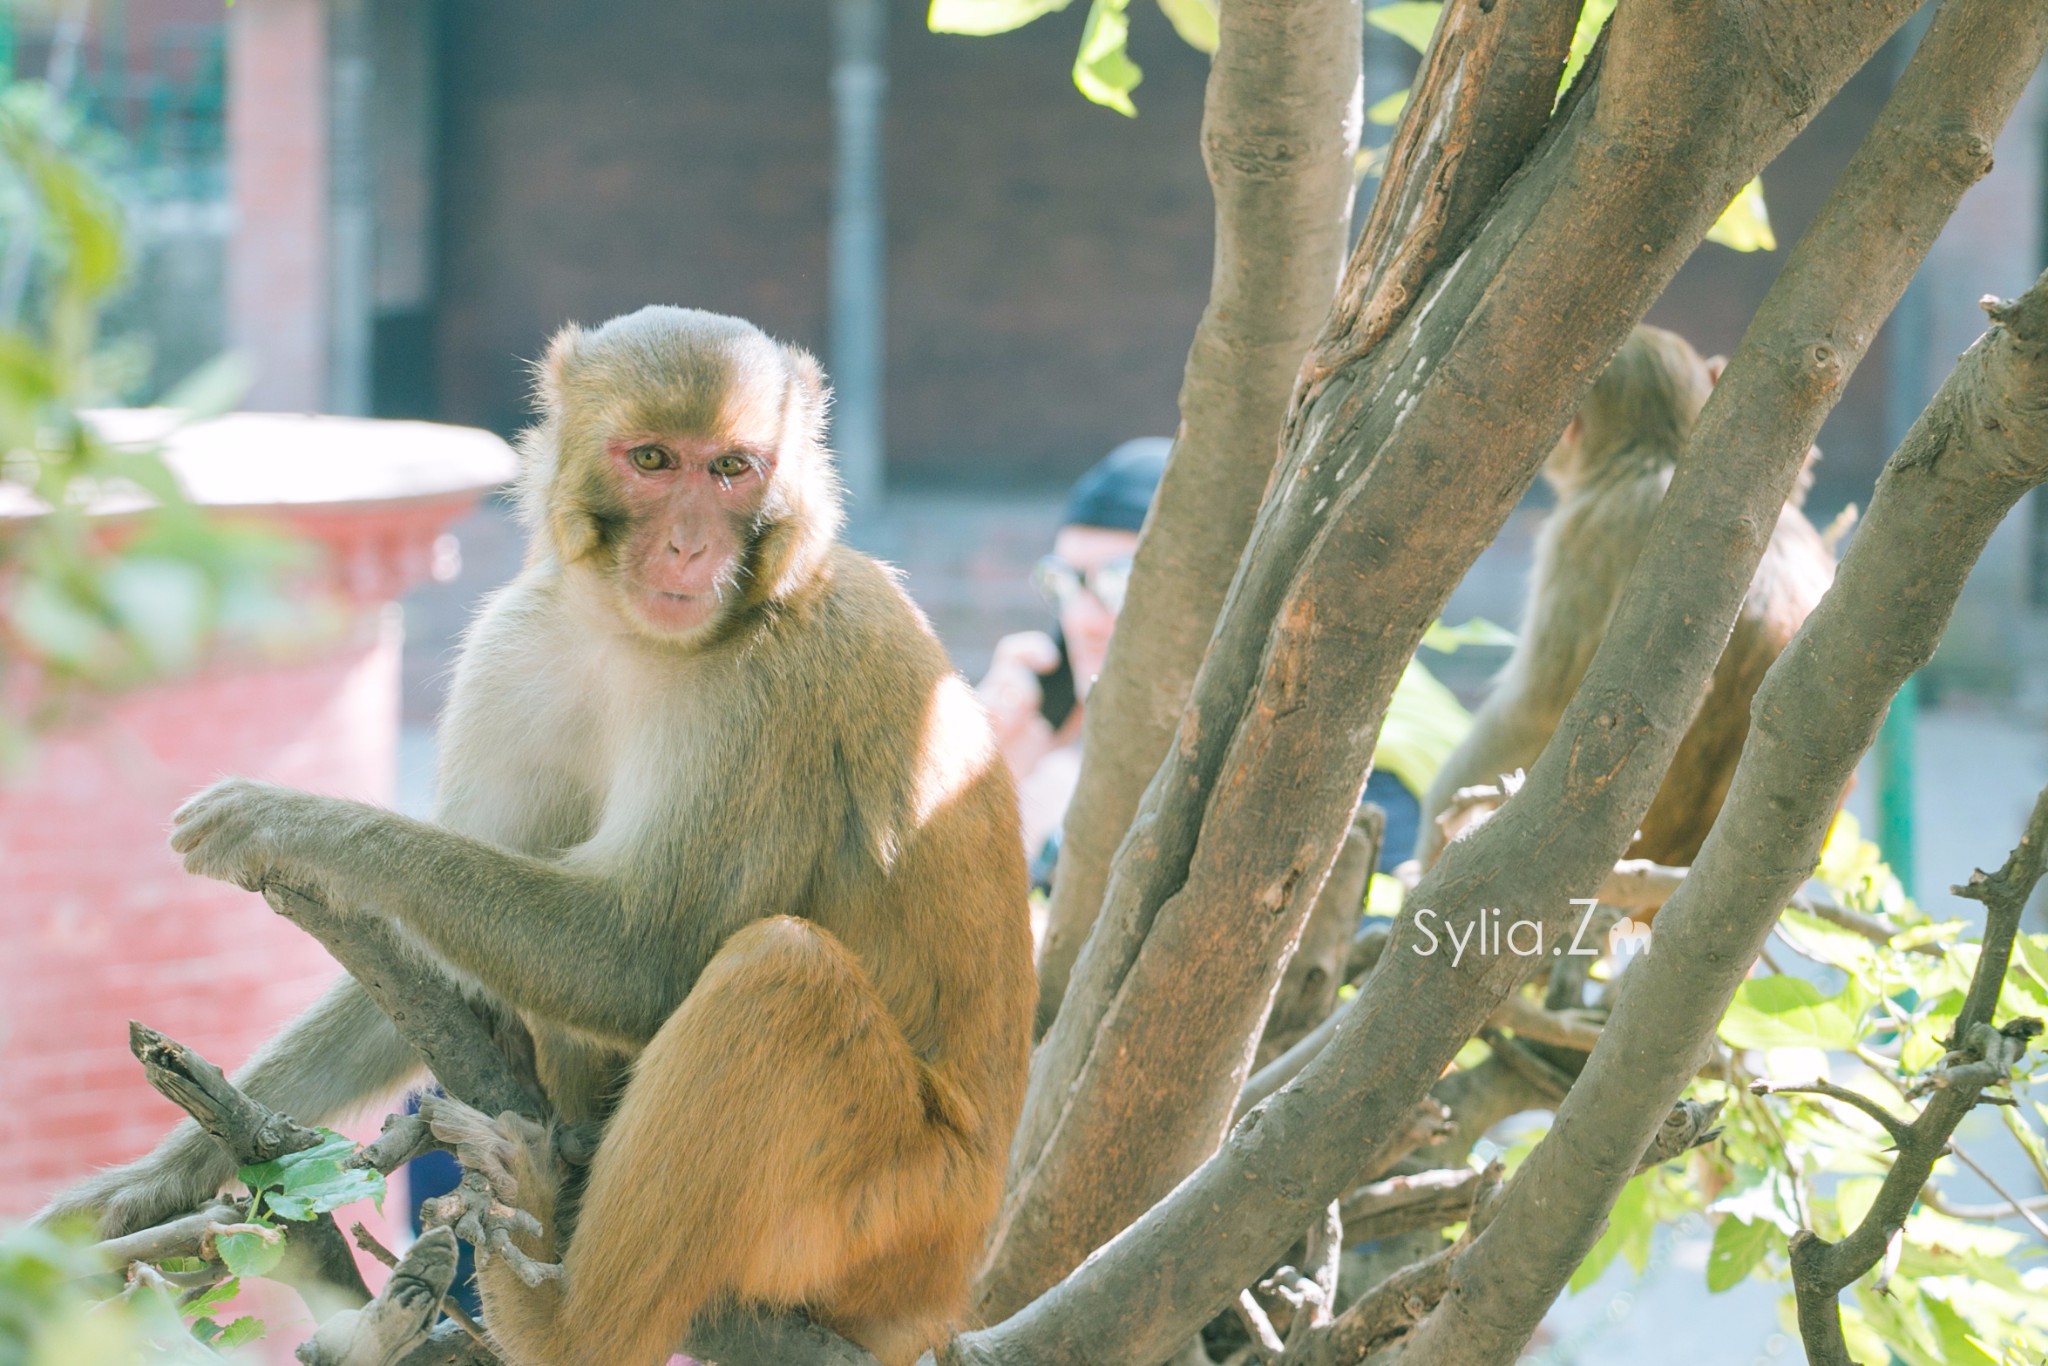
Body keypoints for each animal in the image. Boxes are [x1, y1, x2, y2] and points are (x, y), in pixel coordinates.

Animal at [48, 309, 1040, 1366]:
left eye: (733, 468)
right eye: (653, 460)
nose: (690, 546)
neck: (634, 638)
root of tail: (945, 1297)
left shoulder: (773, 692)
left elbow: (649, 954)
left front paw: (299, 824)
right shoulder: (518, 643)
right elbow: (436, 963)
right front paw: (147, 1183)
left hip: (891, 1222)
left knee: (781, 974)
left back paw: (562, 1322)